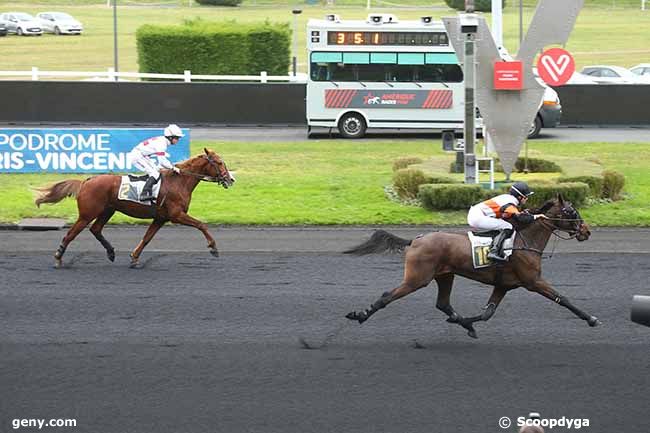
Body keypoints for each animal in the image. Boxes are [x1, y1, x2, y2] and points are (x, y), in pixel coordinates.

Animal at [34, 147, 233, 266]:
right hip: (87, 214)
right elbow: (201, 225)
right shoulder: (176, 214)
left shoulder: (161, 217)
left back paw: (111, 252)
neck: (179, 181)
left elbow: (147, 238)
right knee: (70, 234)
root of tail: (86, 181)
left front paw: (134, 257)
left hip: (107, 210)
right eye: (219, 162)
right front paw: (213, 248)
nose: (231, 179)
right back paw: (58, 258)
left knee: (96, 229)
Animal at [344, 194, 604, 340]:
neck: (524, 241)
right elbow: (564, 299)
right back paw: (360, 315)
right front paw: (591, 318)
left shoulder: (504, 285)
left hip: (445, 275)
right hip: (417, 278)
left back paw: (459, 321)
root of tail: (416, 240)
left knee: (443, 303)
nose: (586, 231)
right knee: (387, 295)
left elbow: (488, 313)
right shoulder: (533, 281)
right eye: (570, 211)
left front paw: (469, 324)